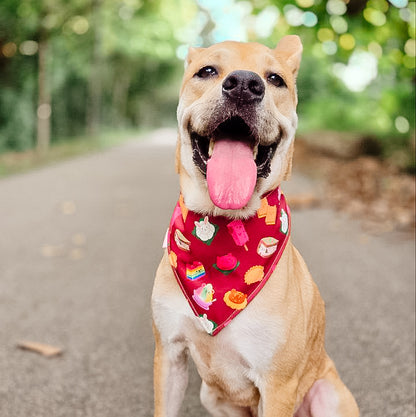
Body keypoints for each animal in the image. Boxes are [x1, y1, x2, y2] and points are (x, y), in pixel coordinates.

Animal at [151, 36, 360, 416]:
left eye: (275, 79)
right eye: (207, 71)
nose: (244, 85)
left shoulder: (278, 385)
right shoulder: (169, 357)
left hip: (327, 394)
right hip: (210, 394)